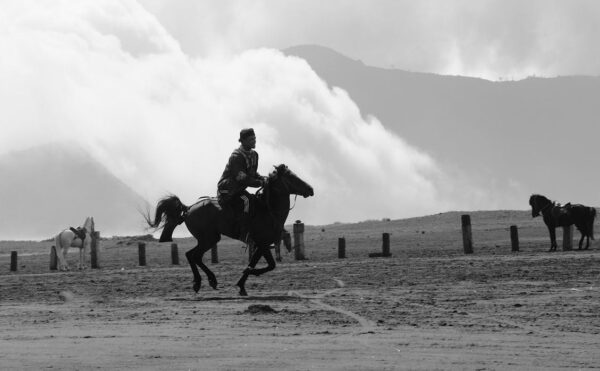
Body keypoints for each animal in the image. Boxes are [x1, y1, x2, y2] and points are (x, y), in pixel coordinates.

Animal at [146, 165, 314, 296]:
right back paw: (206, 281)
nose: (310, 189)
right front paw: (247, 273)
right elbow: (269, 265)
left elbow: (255, 263)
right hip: (209, 239)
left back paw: (204, 281)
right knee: (194, 255)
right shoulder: (263, 243)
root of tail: (188, 209)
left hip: (208, 239)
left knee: (192, 255)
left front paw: (242, 285)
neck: (268, 209)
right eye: (292, 177)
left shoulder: (261, 245)